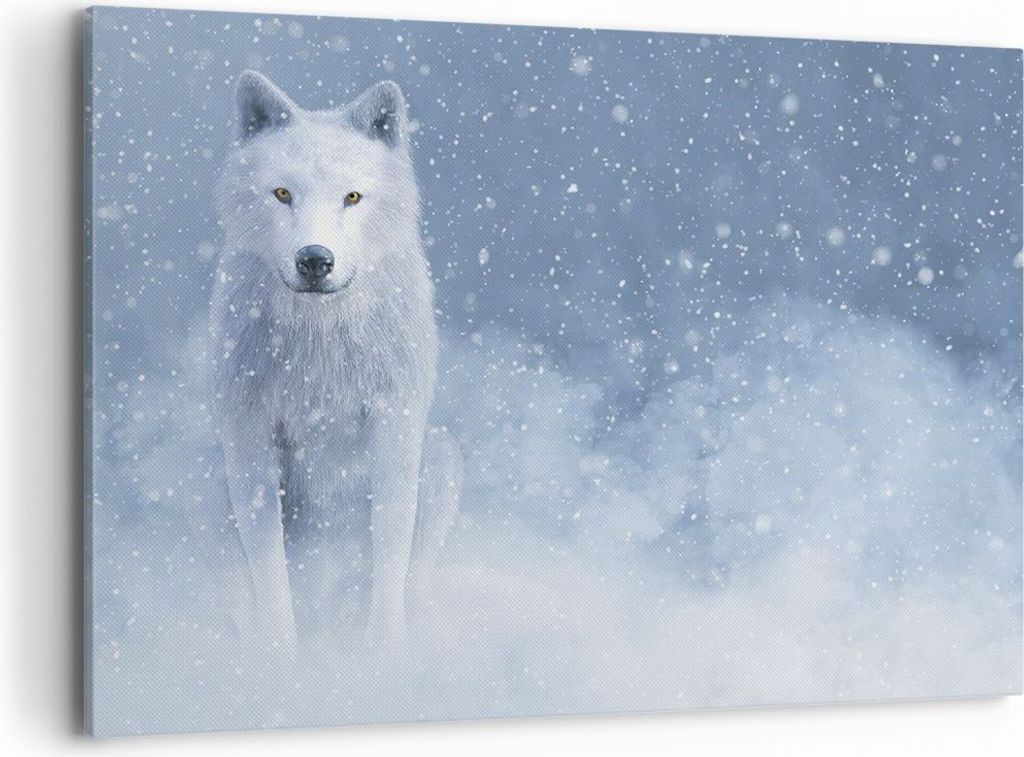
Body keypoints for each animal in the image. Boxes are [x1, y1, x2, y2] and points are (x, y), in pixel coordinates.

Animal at [210, 70, 461, 658]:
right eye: (283, 193)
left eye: (351, 197)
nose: (314, 260)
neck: (319, 342)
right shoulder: (248, 434)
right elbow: (269, 565)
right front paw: (277, 659)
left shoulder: (395, 427)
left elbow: (391, 547)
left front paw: (383, 655)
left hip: (440, 455)